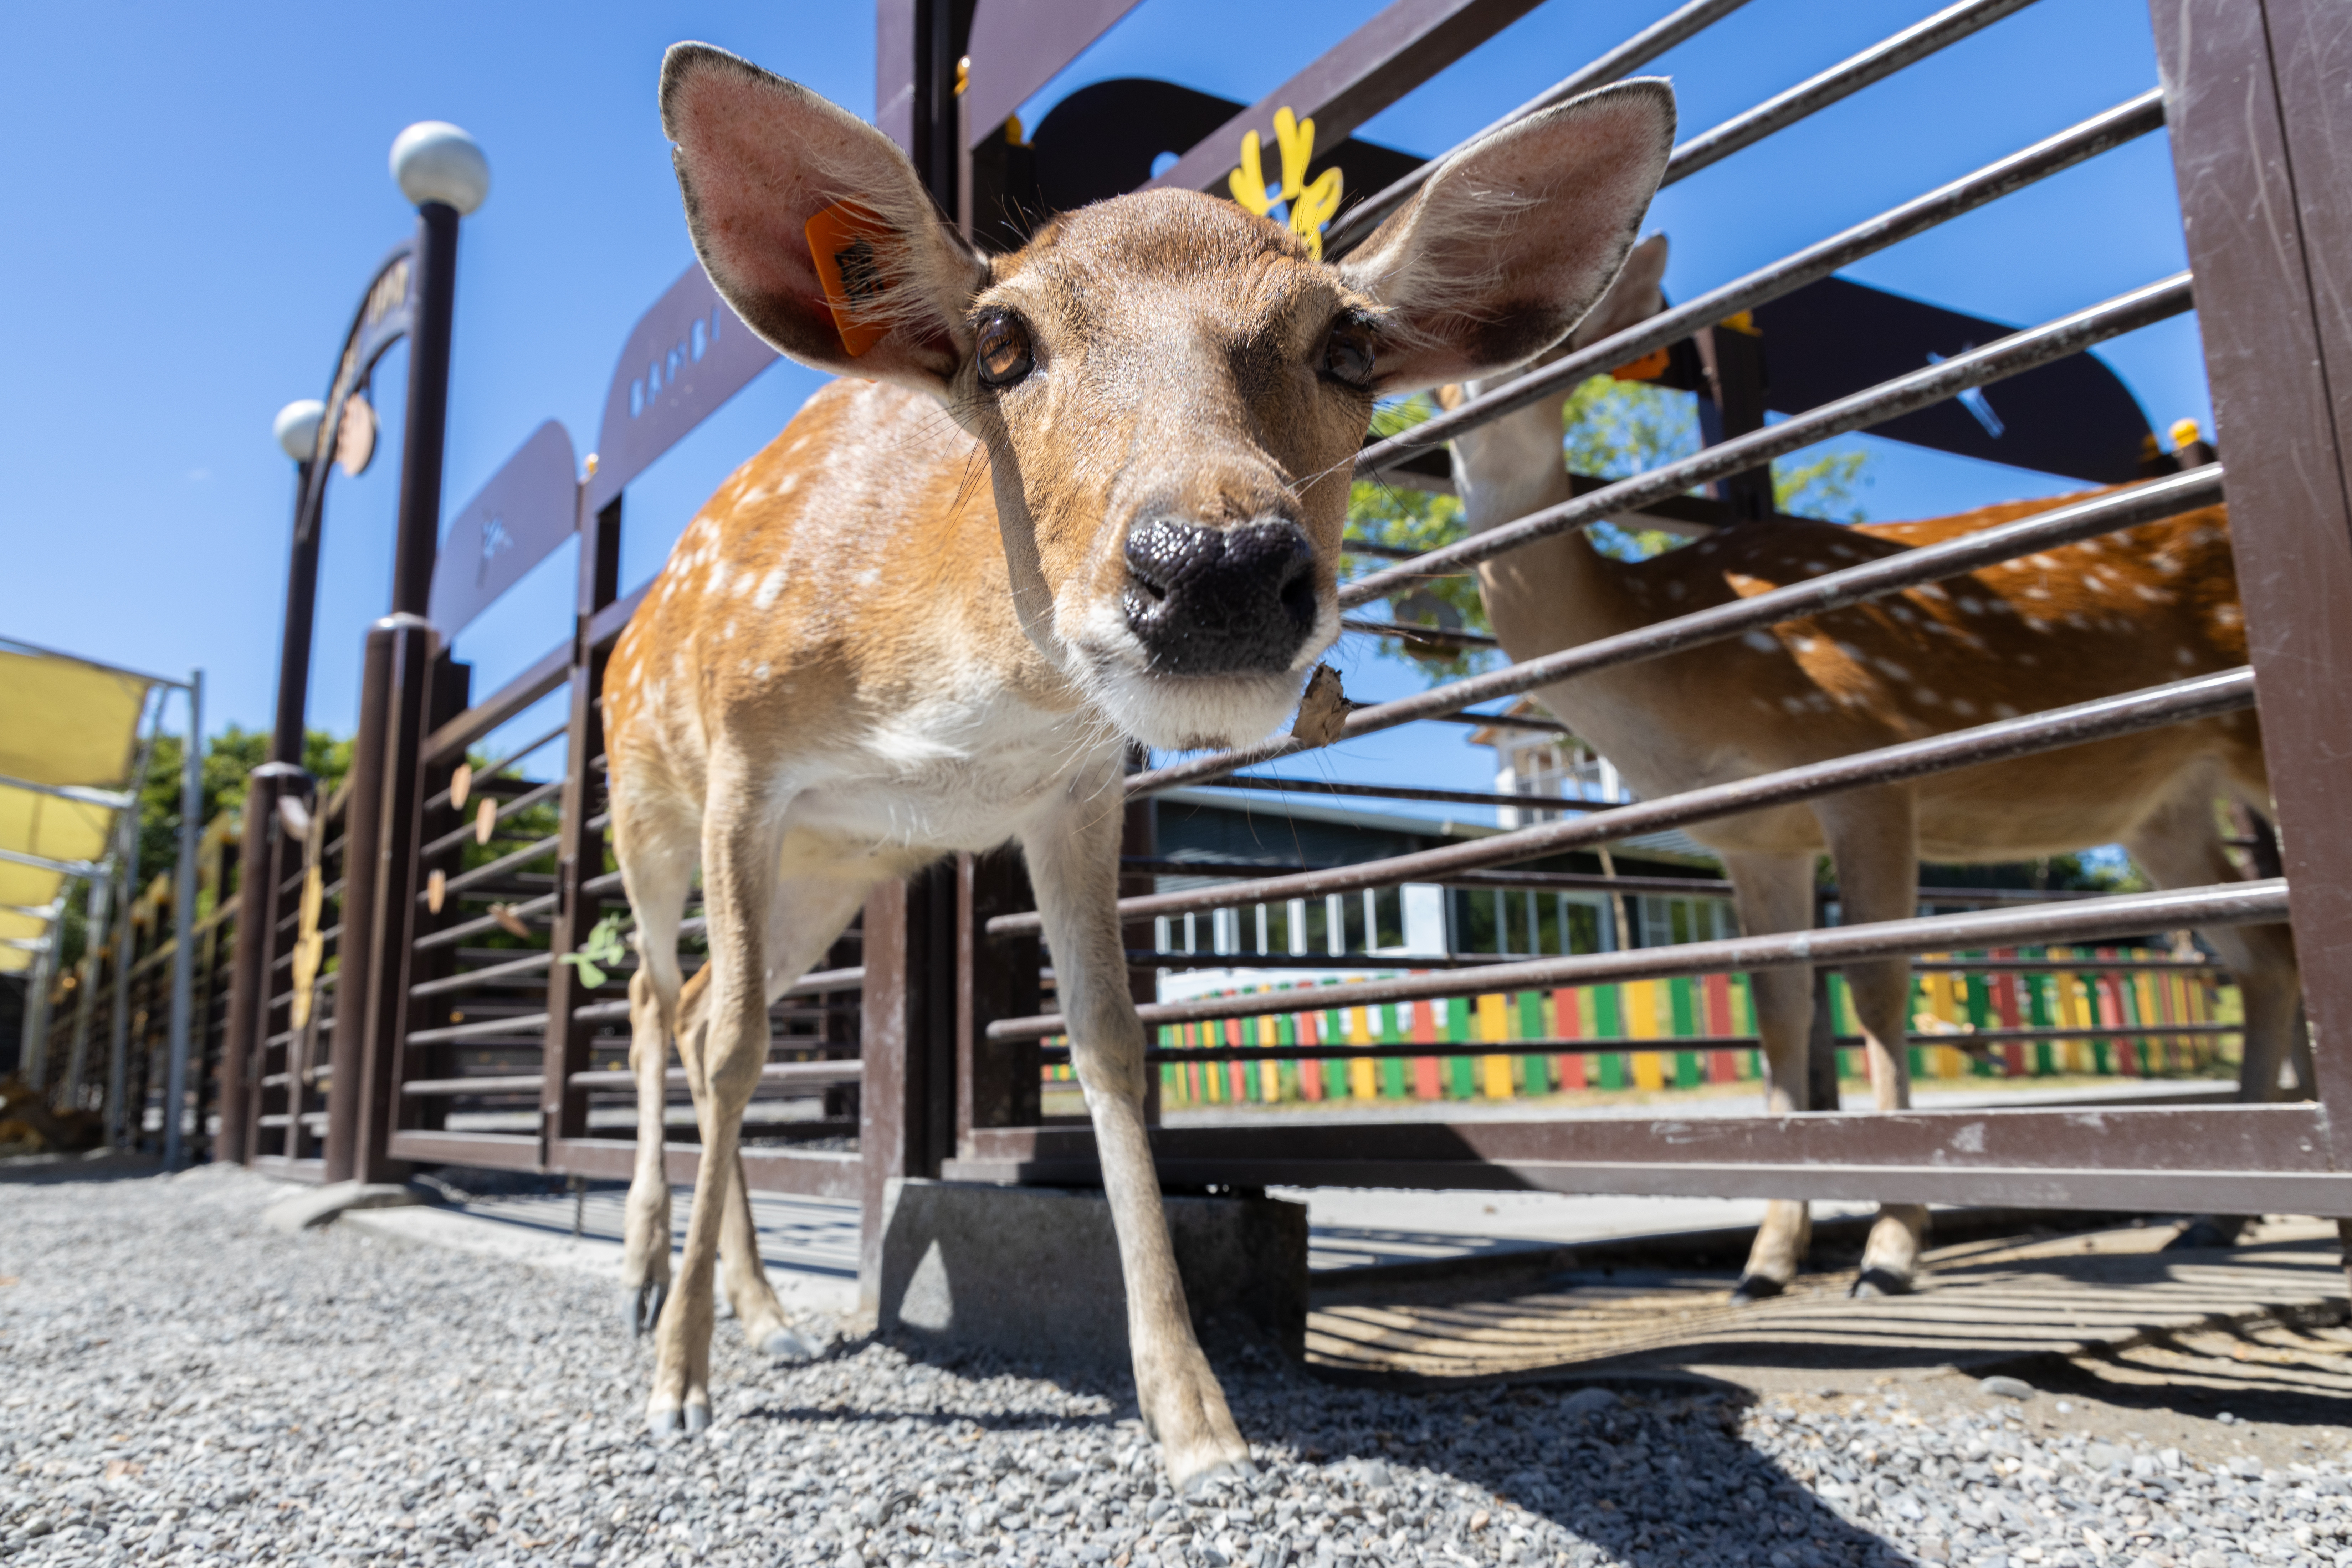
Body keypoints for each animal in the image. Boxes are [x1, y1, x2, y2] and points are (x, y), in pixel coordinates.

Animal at [599, 42, 1678, 1480]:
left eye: (1346, 342)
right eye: (1002, 341)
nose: (1215, 568)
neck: (939, 695)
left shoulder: (1073, 790)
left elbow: (1111, 1046)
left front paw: (1195, 1414)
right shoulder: (744, 753)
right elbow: (729, 1051)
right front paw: (675, 1385)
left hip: (834, 869)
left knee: (711, 995)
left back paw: (764, 1306)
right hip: (646, 812)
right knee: (661, 1002)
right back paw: (651, 1284)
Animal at [1441, 233, 2302, 1300]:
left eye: (1552, 342)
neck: (1674, 666)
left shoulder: (1866, 761)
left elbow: (1878, 984)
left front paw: (1890, 1246)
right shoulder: (1754, 840)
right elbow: (1778, 1014)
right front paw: (1767, 1258)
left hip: (2248, 734)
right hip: (2163, 808)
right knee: (2265, 950)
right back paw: (2219, 1214)